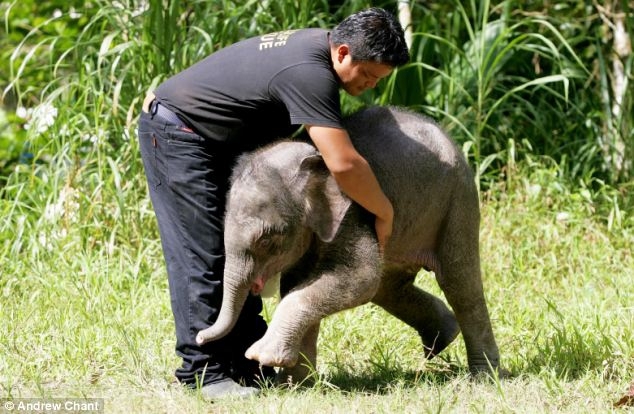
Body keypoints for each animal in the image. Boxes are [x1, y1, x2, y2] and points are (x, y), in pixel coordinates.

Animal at [196, 106, 498, 382]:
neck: (312, 157)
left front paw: (261, 356)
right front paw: (296, 385)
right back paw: (444, 338)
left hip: (457, 199)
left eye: (268, 238)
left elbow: (360, 279)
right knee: (388, 288)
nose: (199, 337)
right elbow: (298, 285)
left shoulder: (353, 214)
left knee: (459, 284)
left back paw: (483, 376)